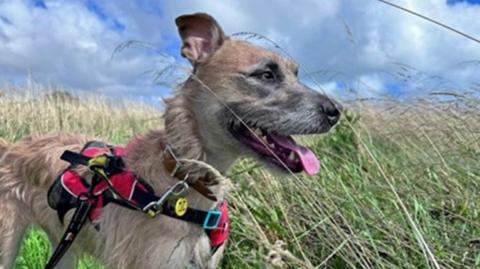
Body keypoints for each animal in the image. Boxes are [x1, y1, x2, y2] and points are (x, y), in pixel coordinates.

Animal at [0, 12, 342, 268]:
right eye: (266, 75)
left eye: (296, 73)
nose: (335, 111)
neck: (185, 178)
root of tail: (9, 147)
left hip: (65, 246)